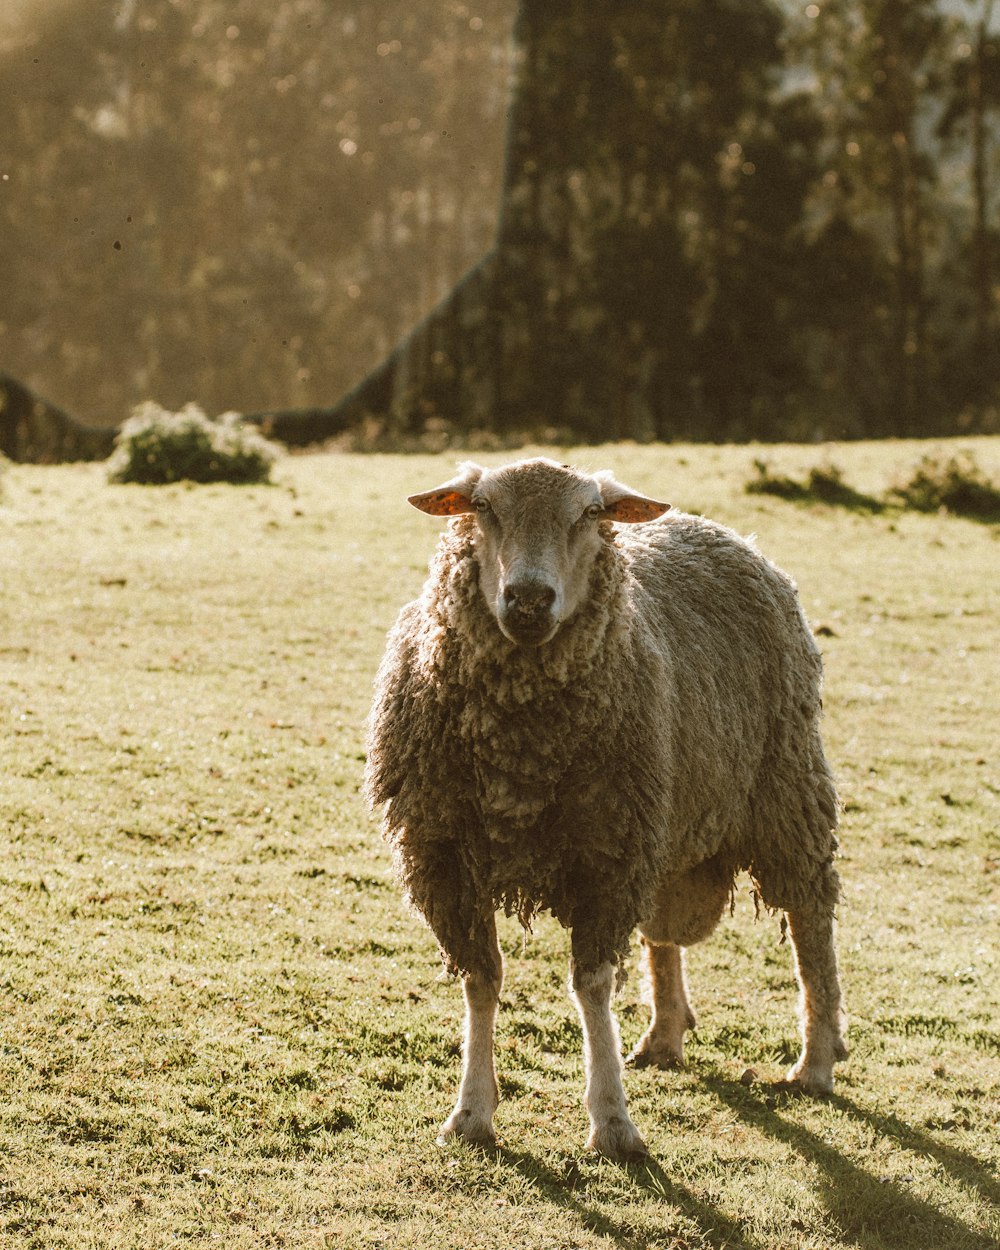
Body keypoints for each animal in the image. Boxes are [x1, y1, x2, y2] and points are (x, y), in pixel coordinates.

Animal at [362, 455, 850, 1155]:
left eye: (589, 514)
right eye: (483, 507)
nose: (528, 599)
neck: (522, 749)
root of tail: (722, 531)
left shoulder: (606, 855)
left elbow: (591, 986)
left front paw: (613, 1120)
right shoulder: (445, 857)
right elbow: (482, 978)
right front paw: (472, 1112)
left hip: (785, 789)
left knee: (811, 920)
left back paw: (815, 1060)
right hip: (665, 817)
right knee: (664, 933)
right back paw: (664, 1036)